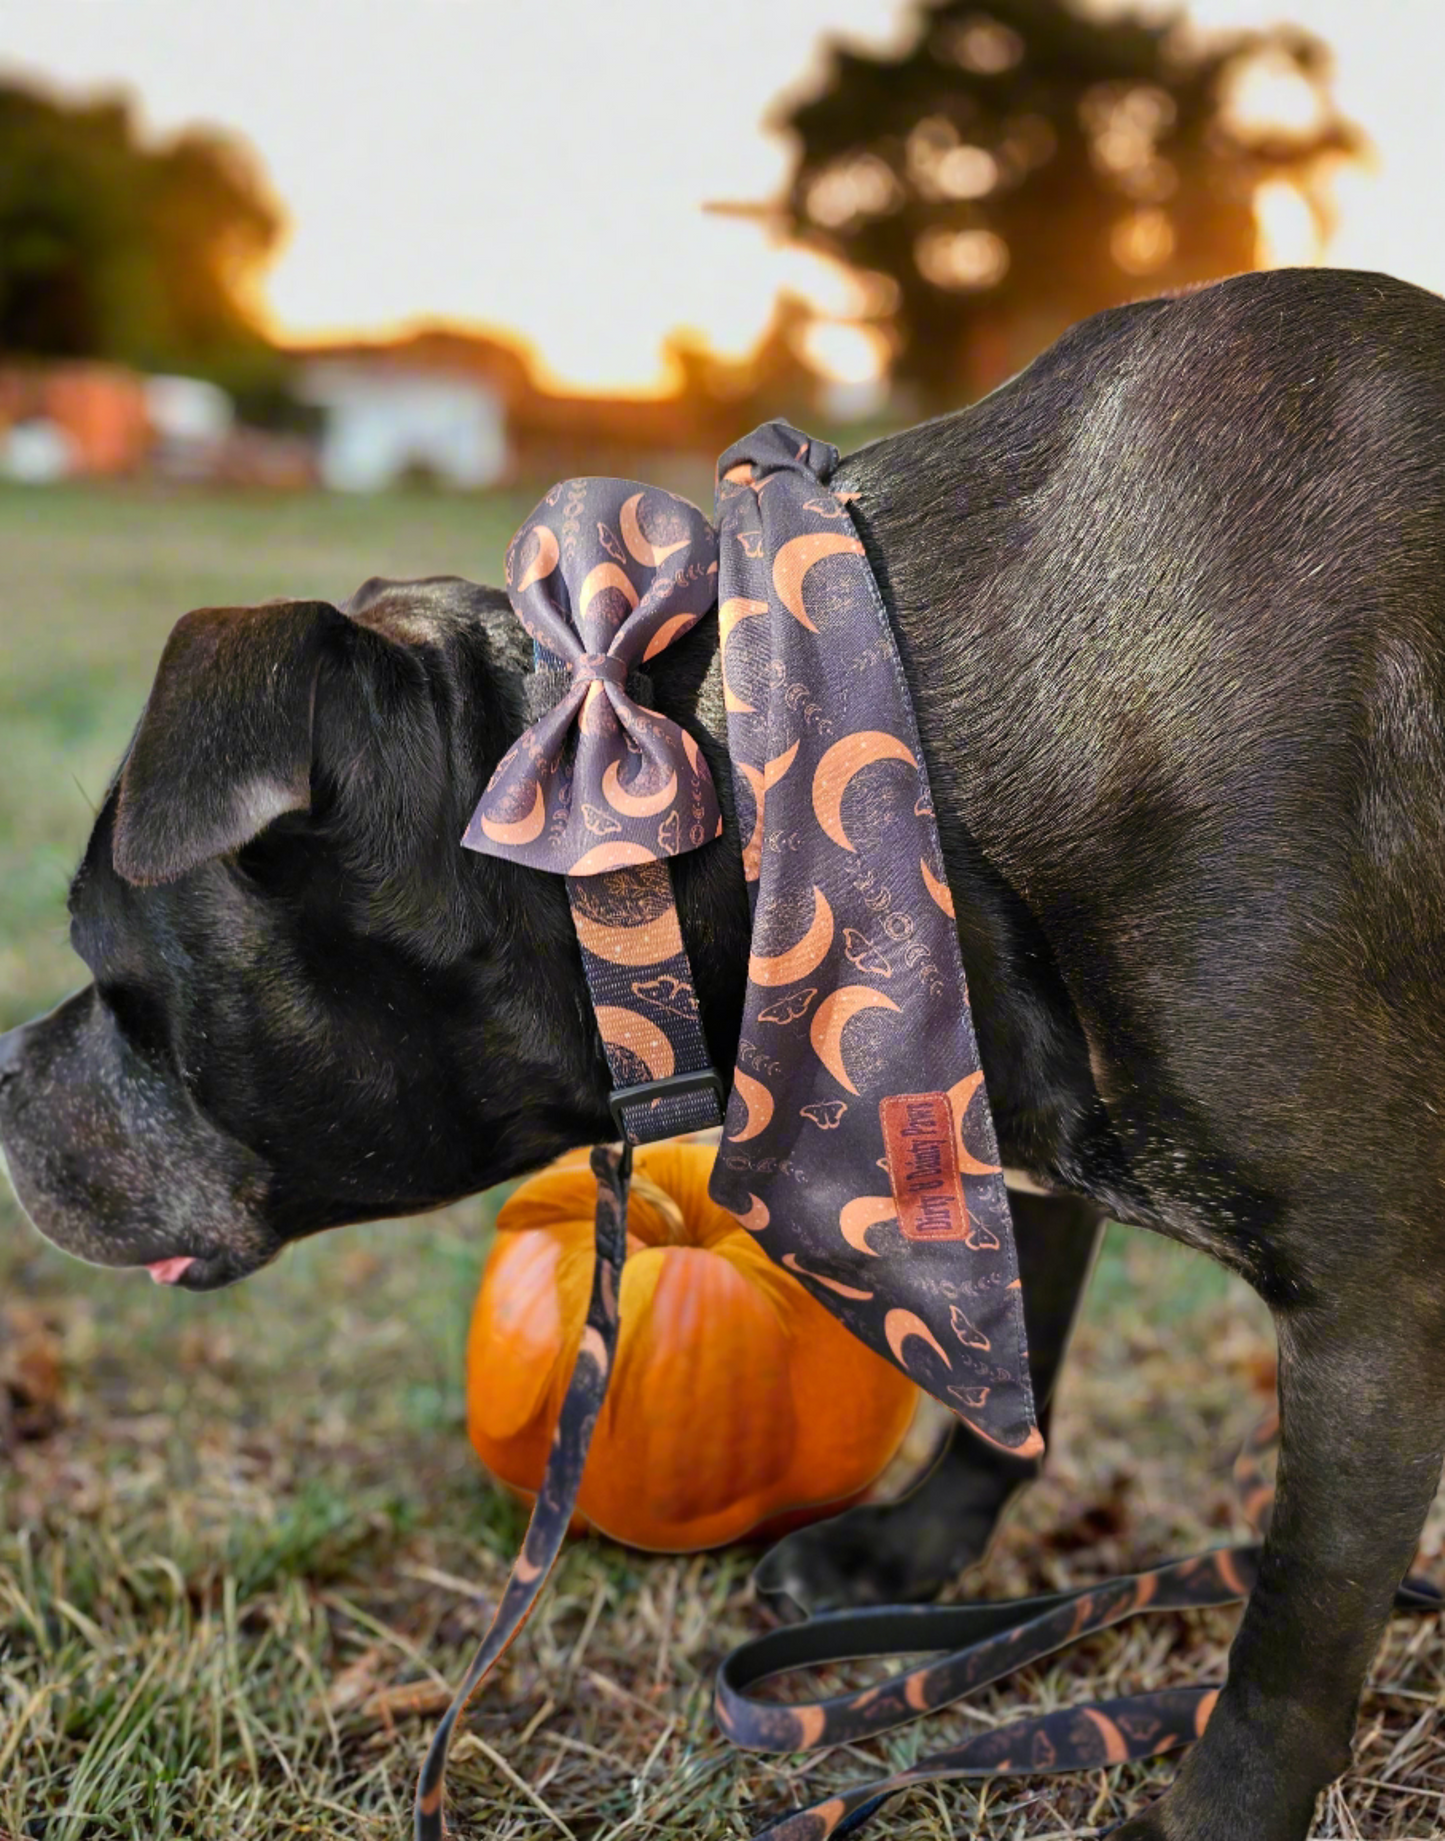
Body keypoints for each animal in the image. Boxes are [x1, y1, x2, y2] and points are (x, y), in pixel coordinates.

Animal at [2, 263, 1443, 1841]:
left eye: (112, 980)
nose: (5, 1065)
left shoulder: (1370, 1309)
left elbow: (1292, 1626)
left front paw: (1211, 1816)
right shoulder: (1003, 1119)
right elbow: (1016, 1370)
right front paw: (905, 1555)